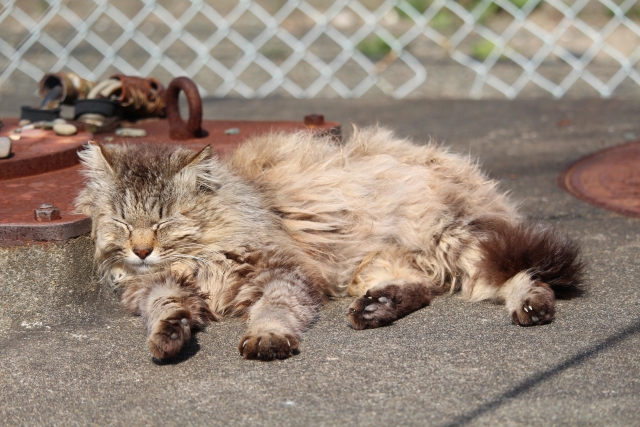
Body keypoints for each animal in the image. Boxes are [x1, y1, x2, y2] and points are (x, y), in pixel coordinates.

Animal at [76, 127, 584, 362]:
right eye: (122, 222)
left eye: (164, 223)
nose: (142, 250)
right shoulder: (156, 289)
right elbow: (165, 311)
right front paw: (169, 337)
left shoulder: (285, 272)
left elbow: (274, 310)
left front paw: (266, 337)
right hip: (376, 264)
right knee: (422, 288)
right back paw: (377, 308)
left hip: (455, 238)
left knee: (523, 274)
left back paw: (533, 305)